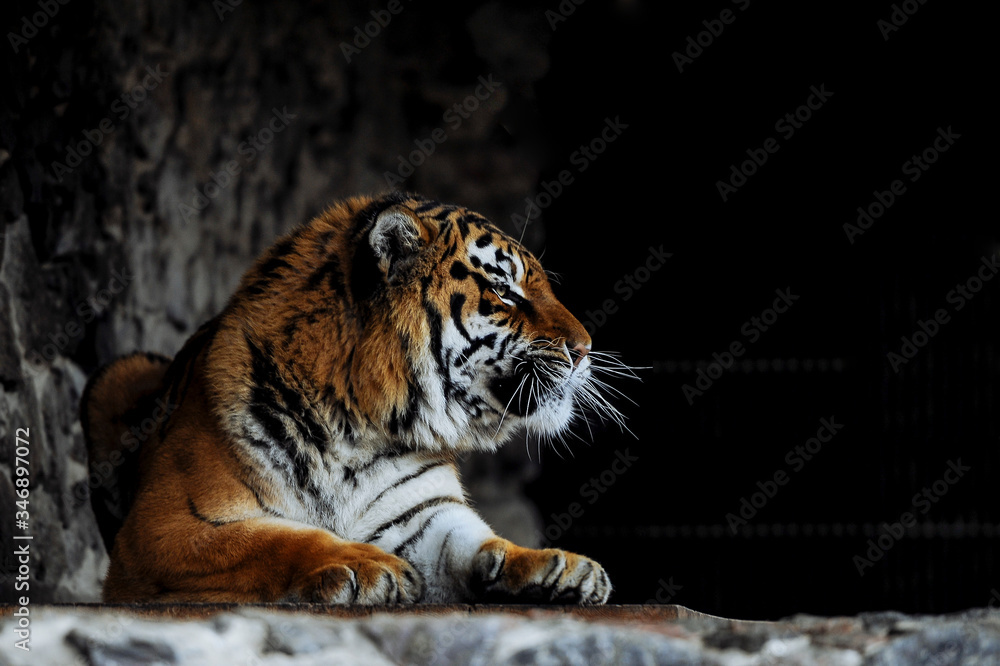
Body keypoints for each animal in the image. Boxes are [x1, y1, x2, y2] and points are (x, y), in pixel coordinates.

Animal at [80, 191, 627, 604]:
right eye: (505, 291)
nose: (586, 348)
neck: (360, 426)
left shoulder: (425, 515)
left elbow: (479, 541)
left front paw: (561, 567)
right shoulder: (165, 525)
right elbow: (275, 538)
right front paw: (364, 564)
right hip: (115, 376)